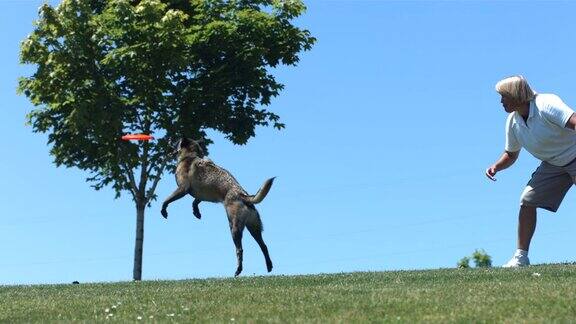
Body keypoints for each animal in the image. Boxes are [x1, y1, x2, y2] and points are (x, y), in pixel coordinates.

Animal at [161, 137, 276, 276]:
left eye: (176, 143)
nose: (170, 147)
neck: (191, 155)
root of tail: (243, 196)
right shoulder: (202, 193)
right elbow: (195, 201)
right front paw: (196, 212)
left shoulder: (183, 189)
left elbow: (167, 200)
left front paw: (164, 210)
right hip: (254, 228)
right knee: (264, 246)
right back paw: (269, 266)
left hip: (234, 227)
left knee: (240, 250)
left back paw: (238, 270)